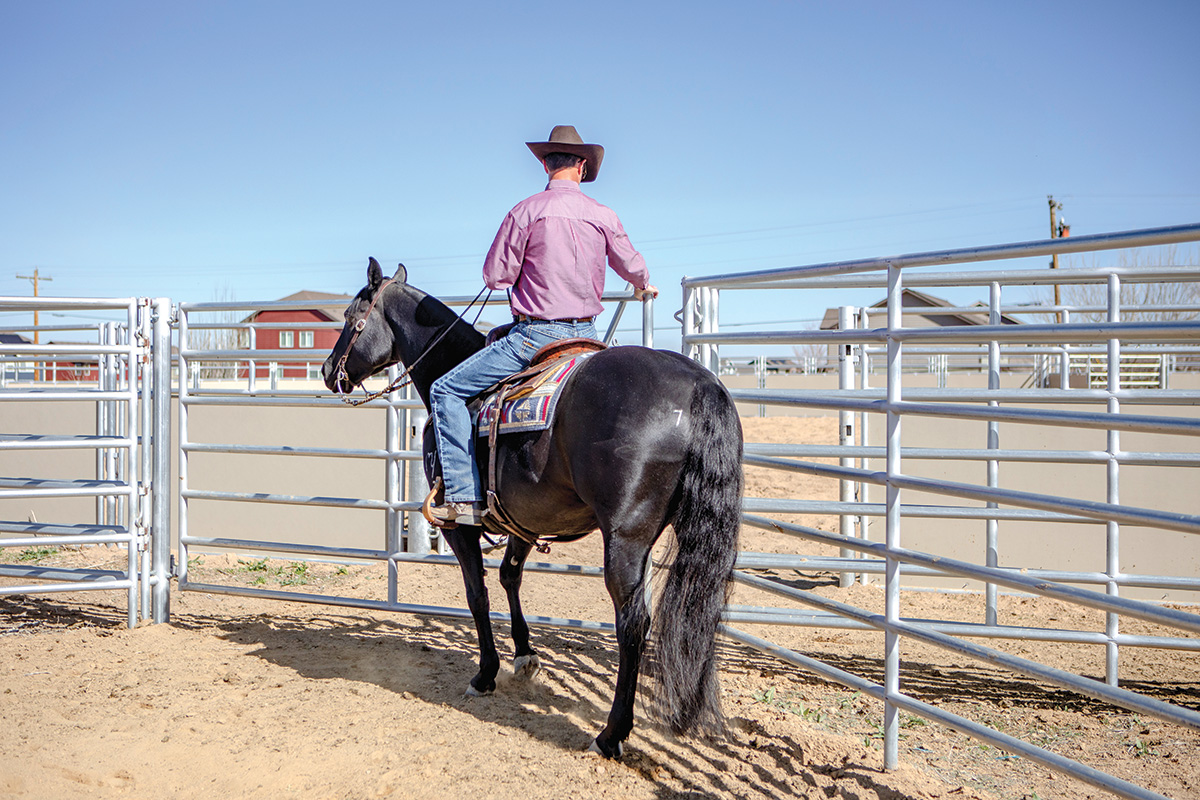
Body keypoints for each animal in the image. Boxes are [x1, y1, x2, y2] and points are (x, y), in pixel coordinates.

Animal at [319, 260, 739, 762]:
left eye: (351, 316)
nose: (328, 370)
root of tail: (700, 384)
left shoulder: (461, 526)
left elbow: (477, 593)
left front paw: (486, 673)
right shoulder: (525, 518)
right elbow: (509, 577)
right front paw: (524, 656)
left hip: (626, 538)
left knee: (633, 622)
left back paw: (611, 734)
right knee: (699, 614)